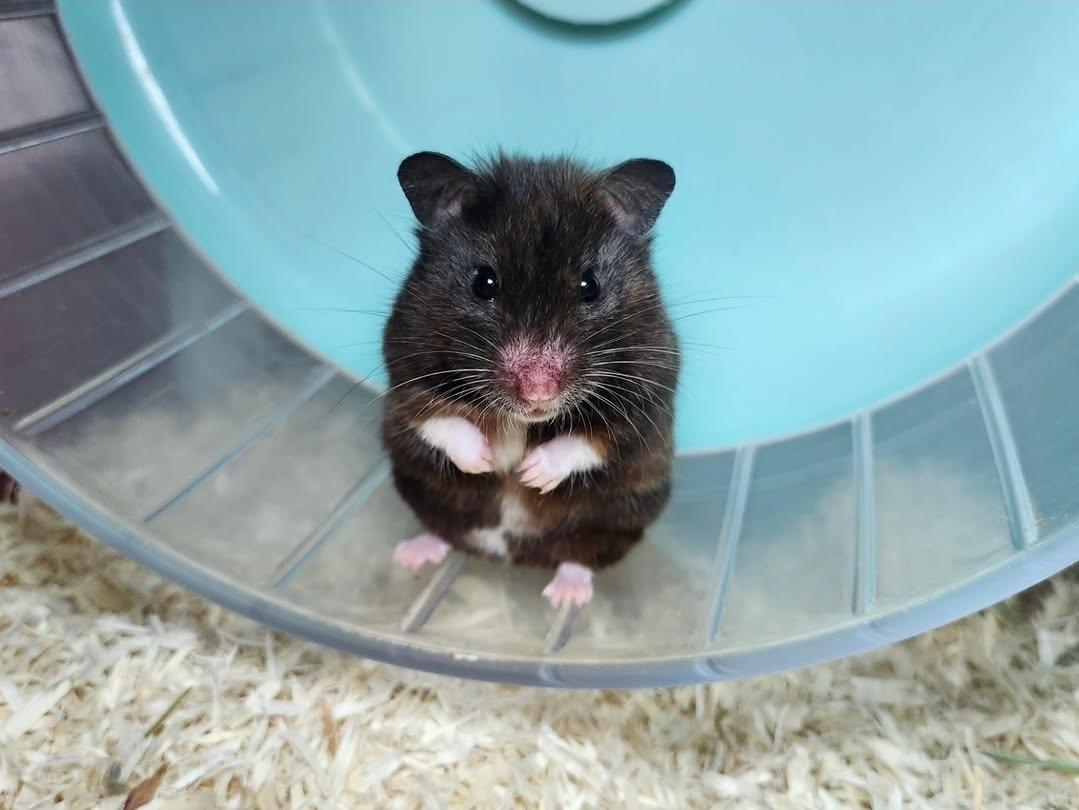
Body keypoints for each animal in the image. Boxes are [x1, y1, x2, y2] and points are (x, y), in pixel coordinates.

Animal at [382, 152, 679, 608]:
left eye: (590, 285)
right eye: (484, 282)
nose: (539, 393)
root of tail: (511, 556)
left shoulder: (649, 391)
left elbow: (594, 438)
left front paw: (530, 474)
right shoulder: (404, 367)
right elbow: (437, 419)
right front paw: (486, 461)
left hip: (621, 516)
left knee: (581, 556)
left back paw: (565, 595)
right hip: (422, 491)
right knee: (444, 531)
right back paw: (411, 554)